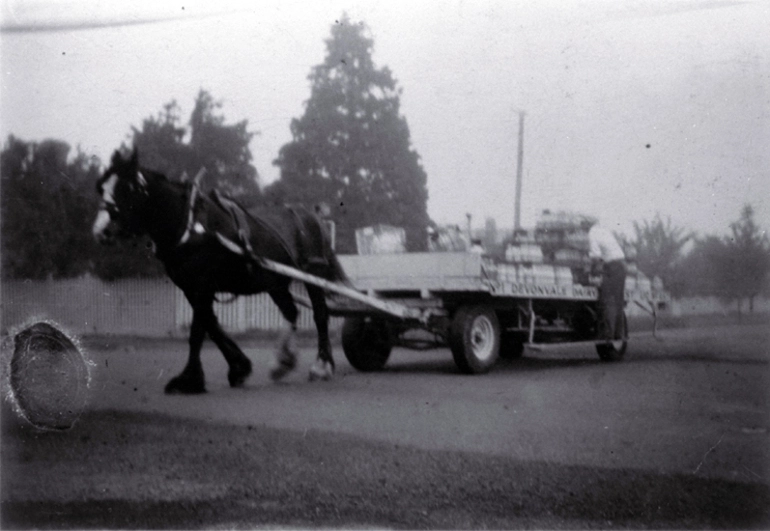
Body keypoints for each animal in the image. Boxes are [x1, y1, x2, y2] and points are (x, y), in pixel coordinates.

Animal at [91, 150, 346, 394]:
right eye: (102, 187)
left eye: (128, 188)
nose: (102, 230)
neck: (192, 227)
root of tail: (311, 215)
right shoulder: (190, 287)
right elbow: (212, 327)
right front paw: (238, 367)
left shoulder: (202, 285)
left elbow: (197, 331)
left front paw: (189, 379)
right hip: (274, 282)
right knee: (291, 312)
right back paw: (283, 362)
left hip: (313, 273)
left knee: (320, 314)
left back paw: (322, 365)